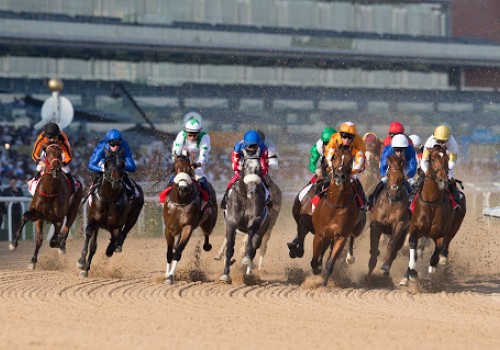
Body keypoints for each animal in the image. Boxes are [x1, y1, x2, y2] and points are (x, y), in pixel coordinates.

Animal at [77, 149, 145, 278]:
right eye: (106, 164)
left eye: (122, 165)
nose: (116, 182)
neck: (109, 199)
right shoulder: (93, 219)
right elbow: (89, 235)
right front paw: (82, 263)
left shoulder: (117, 225)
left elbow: (115, 238)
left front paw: (110, 249)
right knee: (94, 245)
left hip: (134, 216)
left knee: (124, 232)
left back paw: (117, 246)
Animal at [161, 153, 214, 284]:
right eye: (175, 169)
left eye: (189, 169)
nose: (183, 188)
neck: (180, 202)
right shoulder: (168, 228)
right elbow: (169, 253)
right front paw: (166, 275)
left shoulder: (188, 227)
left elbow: (178, 253)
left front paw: (170, 276)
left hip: (209, 222)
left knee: (207, 233)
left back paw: (207, 246)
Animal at [221, 152, 272, 284]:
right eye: (245, 167)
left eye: (258, 168)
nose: (252, 190)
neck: (245, 197)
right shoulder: (231, 223)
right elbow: (229, 249)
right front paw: (225, 275)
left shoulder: (255, 221)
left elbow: (250, 243)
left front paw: (246, 260)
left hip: (262, 231)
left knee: (254, 247)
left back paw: (247, 271)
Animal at [310, 146, 366, 286]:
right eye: (334, 157)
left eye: (350, 159)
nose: (339, 175)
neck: (335, 205)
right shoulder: (319, 234)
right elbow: (314, 260)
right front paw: (316, 268)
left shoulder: (341, 236)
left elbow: (331, 263)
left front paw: (324, 282)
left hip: (356, 229)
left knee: (352, 236)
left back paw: (350, 257)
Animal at [398, 145, 464, 288]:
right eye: (432, 159)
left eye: (446, 158)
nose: (443, 180)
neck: (432, 202)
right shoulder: (415, 229)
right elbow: (413, 251)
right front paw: (412, 274)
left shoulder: (441, 235)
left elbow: (434, 258)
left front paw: (430, 275)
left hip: (454, 229)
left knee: (445, 248)